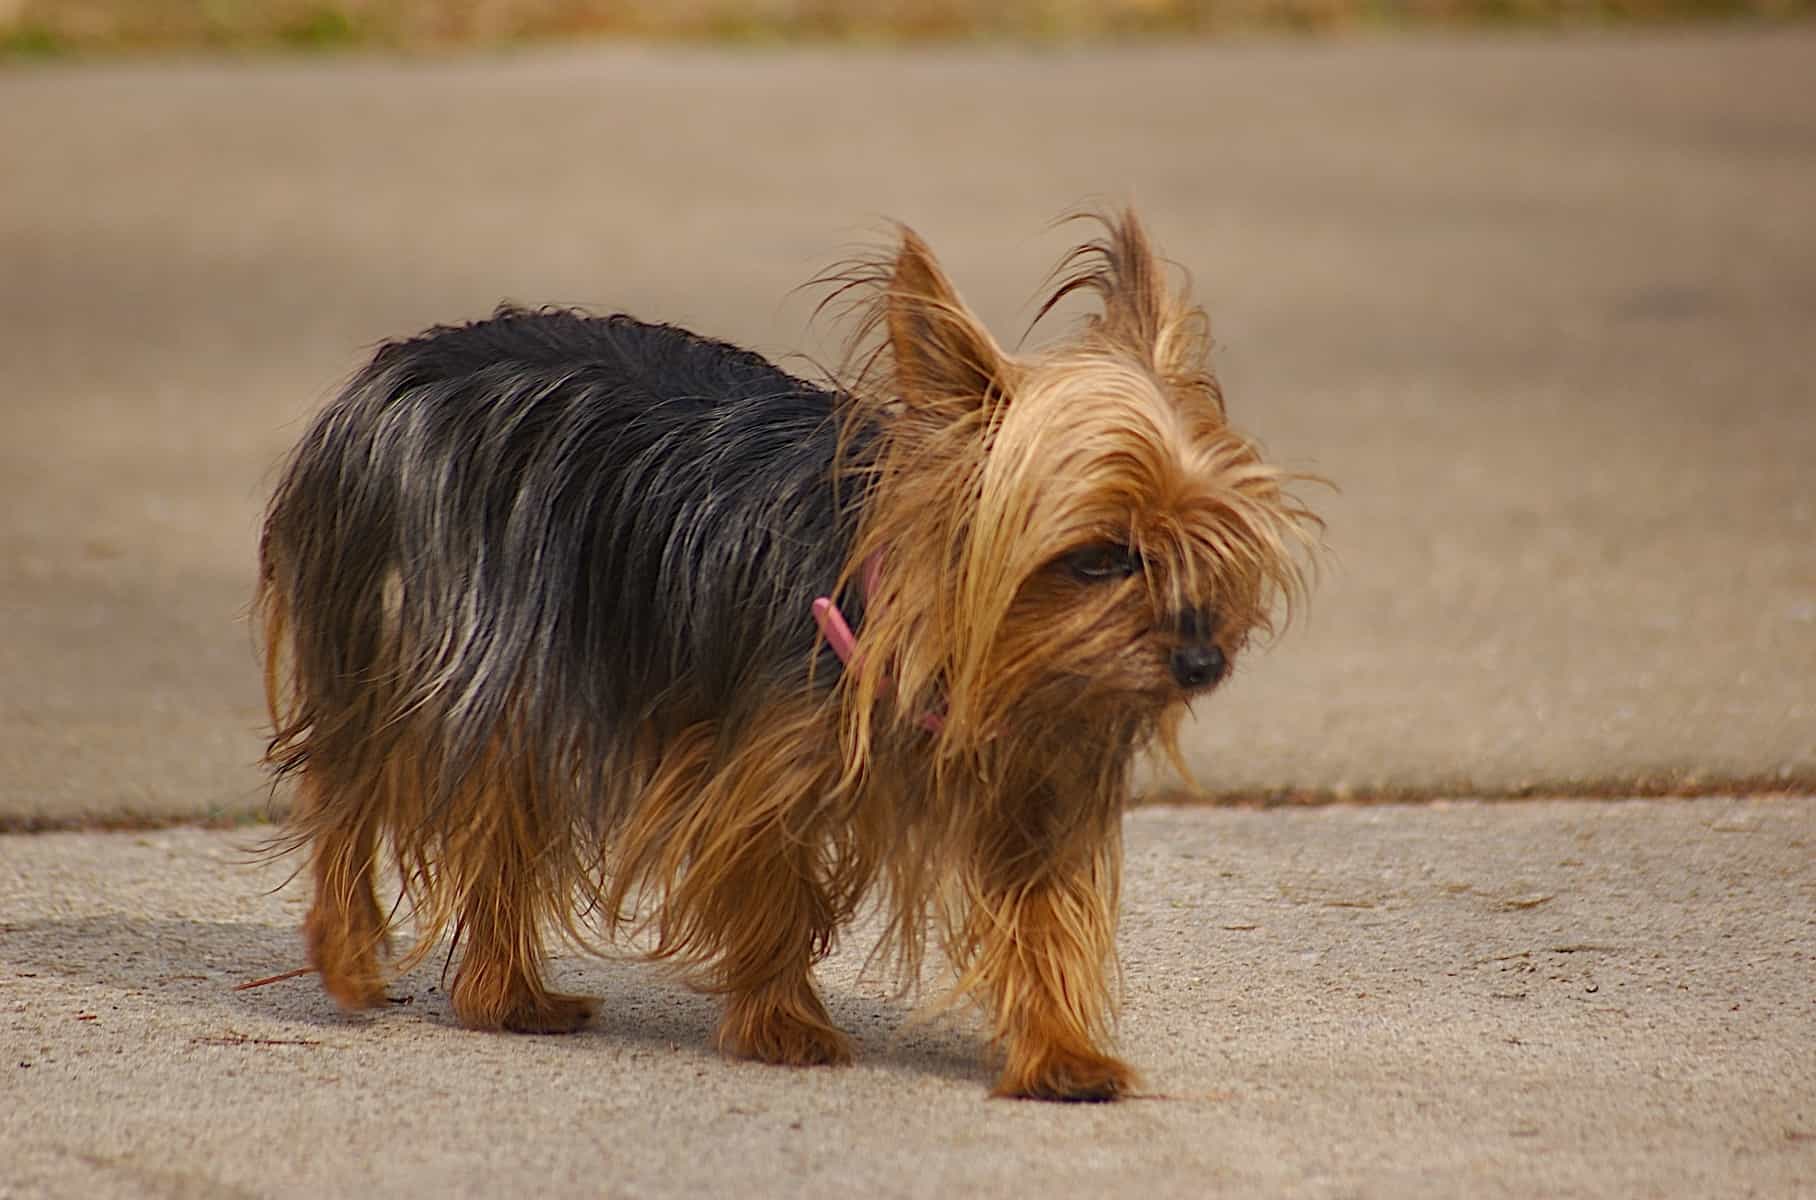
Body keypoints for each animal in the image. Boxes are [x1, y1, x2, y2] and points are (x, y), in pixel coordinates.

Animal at [256, 207, 1322, 1096]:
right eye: (1098, 557)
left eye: (1211, 547)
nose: (1203, 660)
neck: (941, 644)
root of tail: (409, 358)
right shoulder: (750, 764)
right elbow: (774, 885)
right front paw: (782, 1027)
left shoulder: (1036, 782)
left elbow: (1045, 921)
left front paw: (1061, 1053)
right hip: (431, 639)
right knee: (354, 783)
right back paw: (350, 952)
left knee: (501, 825)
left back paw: (509, 995)